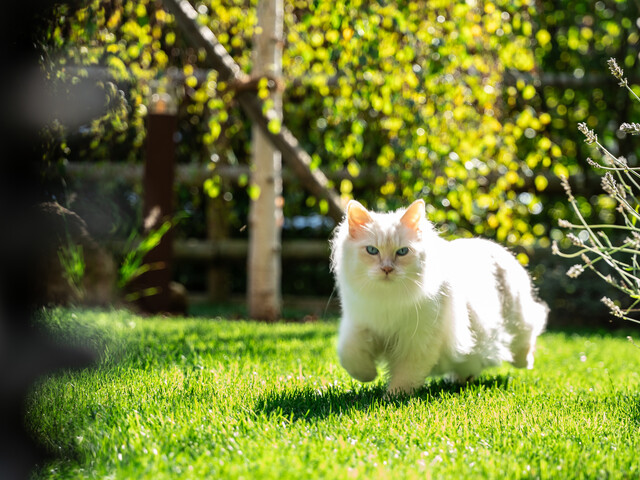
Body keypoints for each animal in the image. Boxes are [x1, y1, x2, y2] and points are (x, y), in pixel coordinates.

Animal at [332, 198, 548, 394]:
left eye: (402, 252)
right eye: (372, 250)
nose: (387, 269)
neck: (388, 300)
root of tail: (493, 245)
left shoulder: (419, 341)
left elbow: (405, 375)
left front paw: (392, 397)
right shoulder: (360, 325)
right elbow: (350, 356)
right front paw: (368, 375)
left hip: (518, 317)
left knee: (528, 335)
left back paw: (527, 361)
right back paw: (461, 379)